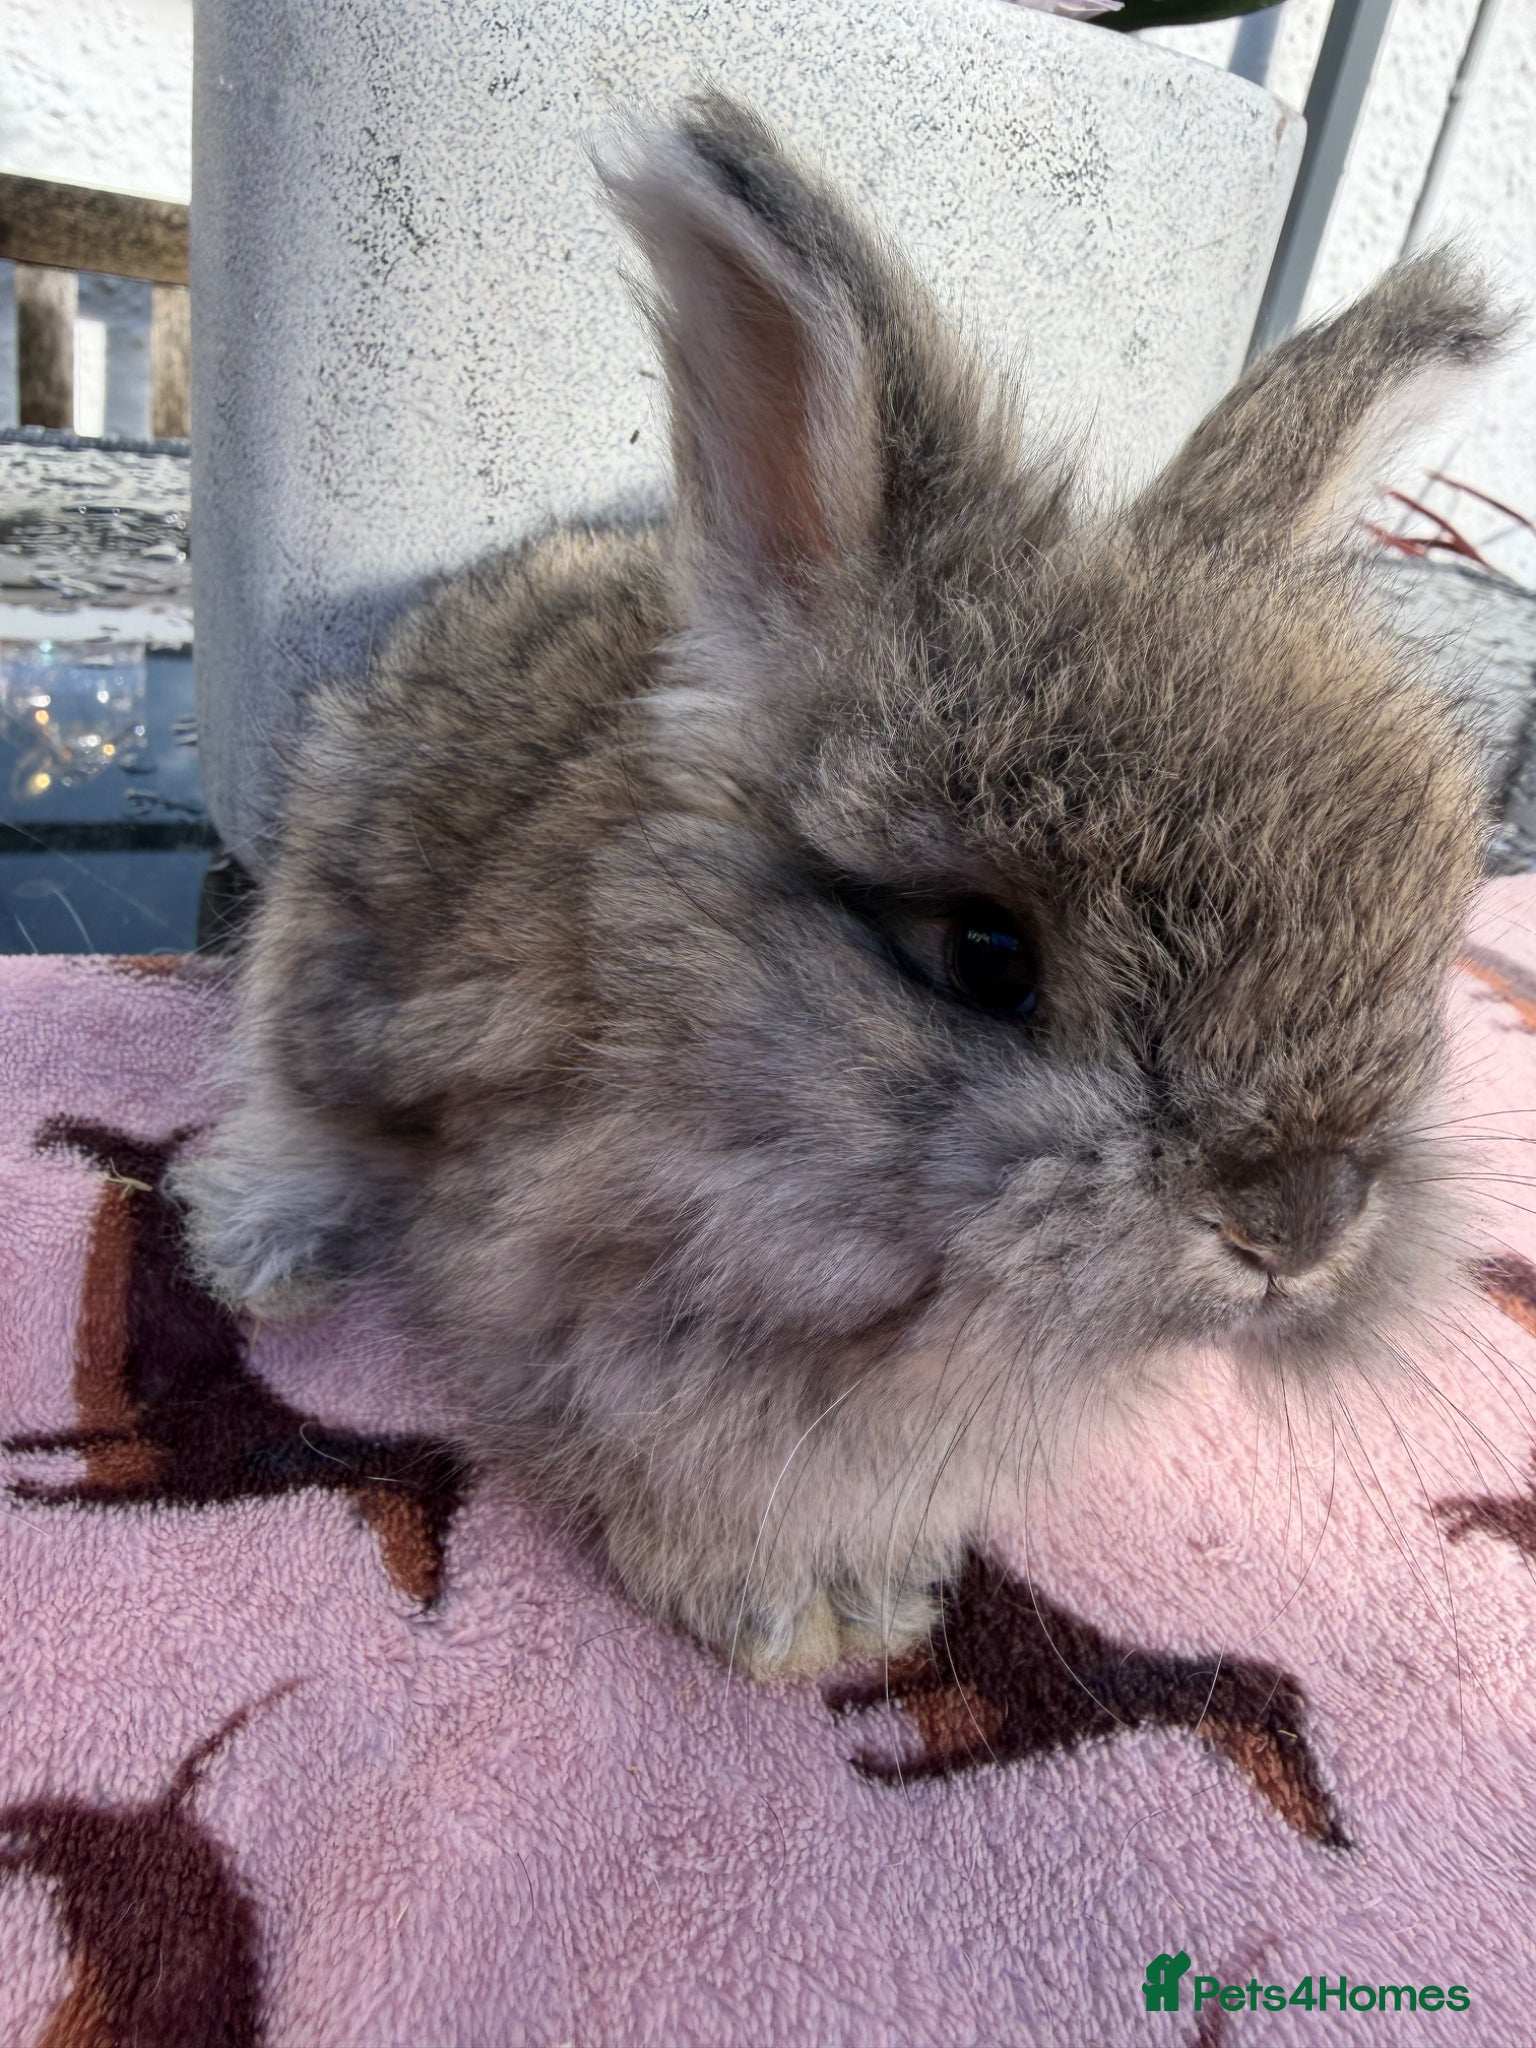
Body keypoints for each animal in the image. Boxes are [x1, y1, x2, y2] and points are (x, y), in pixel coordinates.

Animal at [174, 92, 1511, 1677]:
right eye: (988, 954)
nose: (1295, 1226)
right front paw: (789, 1620)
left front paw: (872, 1596)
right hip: (329, 967)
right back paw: (260, 1251)